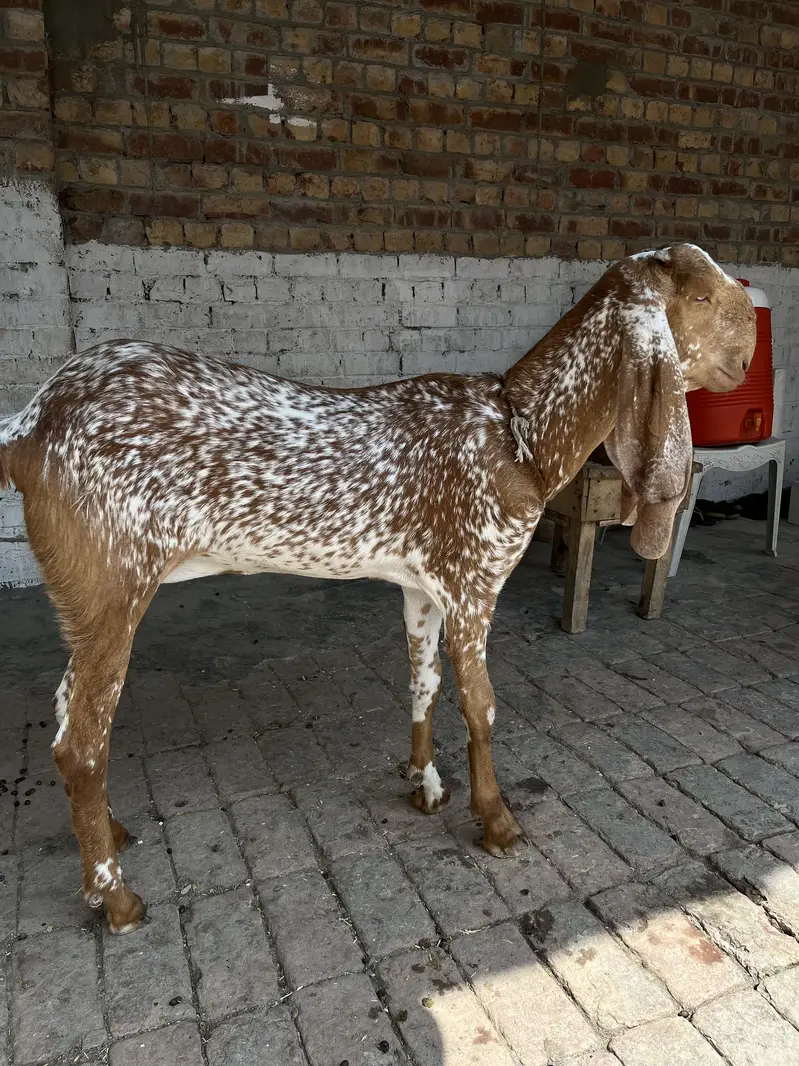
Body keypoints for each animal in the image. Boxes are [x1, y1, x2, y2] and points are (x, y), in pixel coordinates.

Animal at [0, 243, 756, 933]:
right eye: (700, 297)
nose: (750, 351)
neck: (516, 433)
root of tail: (30, 424)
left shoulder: (422, 588)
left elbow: (424, 682)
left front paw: (426, 784)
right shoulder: (475, 583)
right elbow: (480, 705)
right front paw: (495, 819)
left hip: (84, 603)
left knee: (66, 714)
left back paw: (109, 832)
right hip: (113, 590)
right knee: (81, 744)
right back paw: (116, 897)